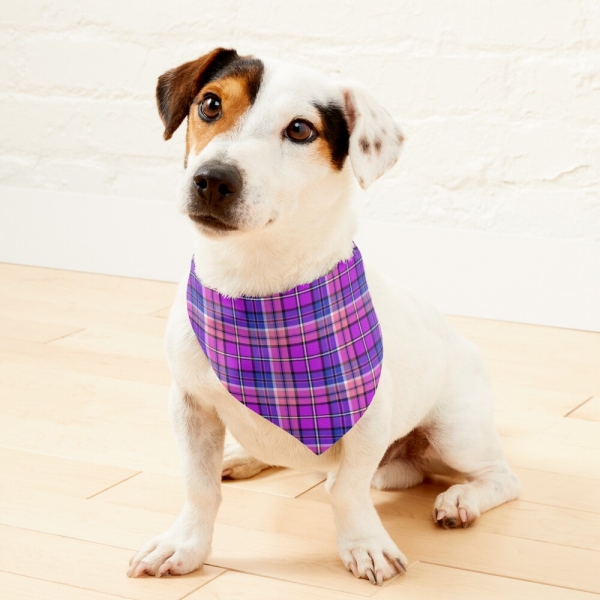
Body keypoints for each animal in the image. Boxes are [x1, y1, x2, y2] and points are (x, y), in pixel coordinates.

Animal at [127, 48, 520, 584]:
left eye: (299, 130)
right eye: (210, 104)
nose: (213, 179)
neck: (257, 288)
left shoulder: (368, 419)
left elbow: (347, 490)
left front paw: (365, 544)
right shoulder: (190, 405)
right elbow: (199, 486)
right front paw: (185, 545)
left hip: (456, 432)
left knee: (500, 477)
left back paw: (461, 499)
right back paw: (244, 456)